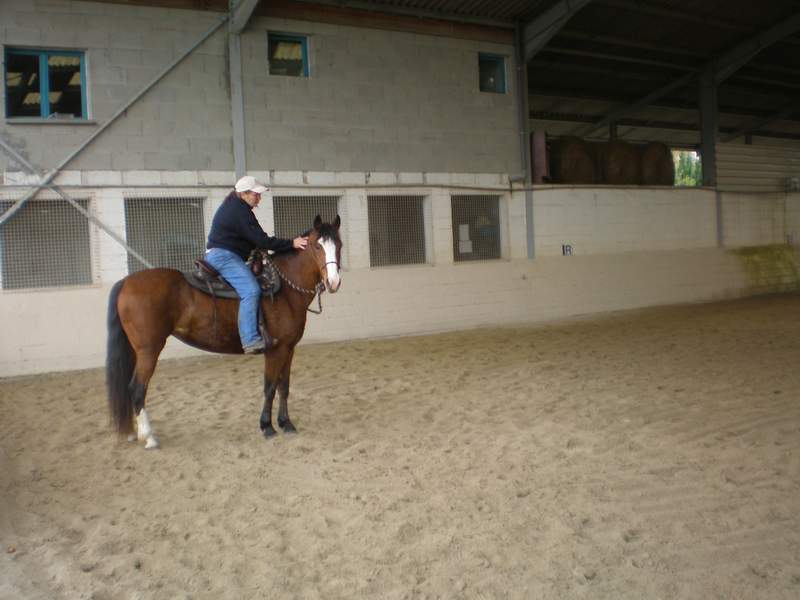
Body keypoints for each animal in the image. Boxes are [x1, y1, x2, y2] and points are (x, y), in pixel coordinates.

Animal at [105, 213, 340, 448]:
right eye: (316, 246)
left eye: (339, 244)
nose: (334, 282)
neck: (286, 290)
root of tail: (126, 281)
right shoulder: (276, 350)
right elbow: (270, 387)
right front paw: (267, 426)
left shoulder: (289, 349)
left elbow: (284, 386)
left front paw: (286, 423)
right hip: (149, 350)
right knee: (137, 388)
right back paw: (149, 437)